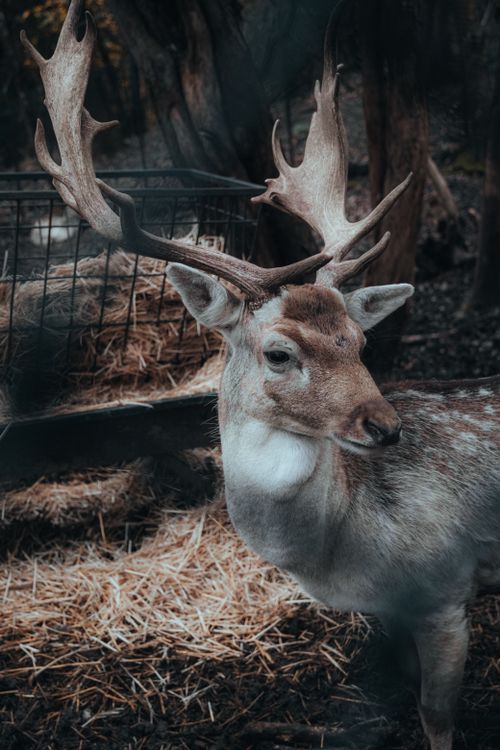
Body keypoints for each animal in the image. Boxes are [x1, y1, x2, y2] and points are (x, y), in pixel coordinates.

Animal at [22, 2, 500, 749]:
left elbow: (436, 717)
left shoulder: (448, 587)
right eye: (279, 353)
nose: (385, 427)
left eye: (361, 341)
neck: (345, 552)